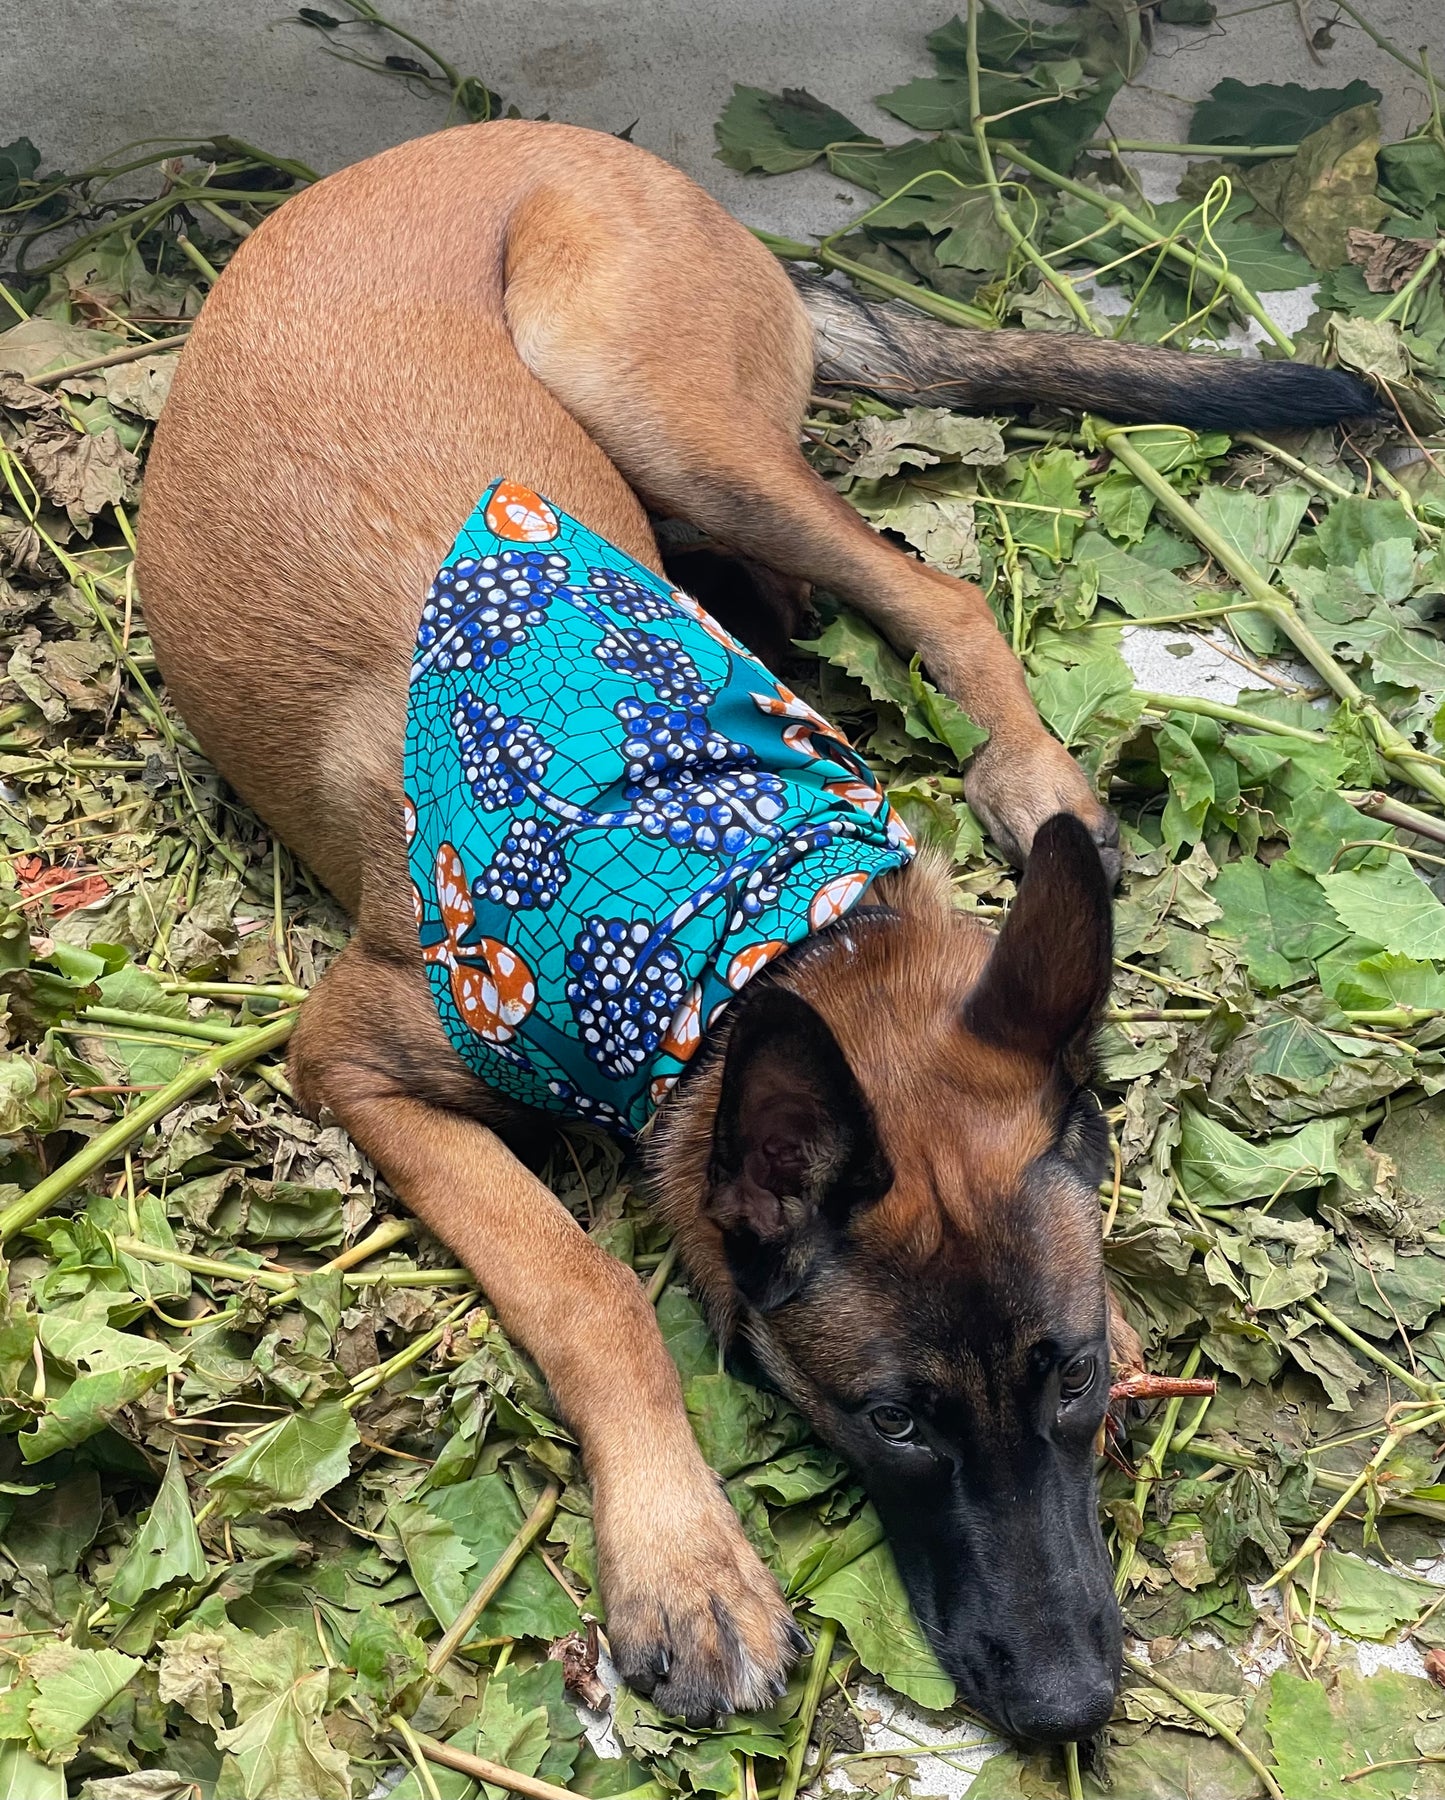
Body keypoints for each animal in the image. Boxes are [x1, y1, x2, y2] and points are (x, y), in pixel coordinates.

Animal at [138, 119, 1382, 1735]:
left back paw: (1024, 768)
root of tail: (495, 134)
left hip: (670, 420)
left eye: (1065, 1379)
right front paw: (686, 1567)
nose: (1067, 1711)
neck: (754, 923)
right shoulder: (350, 1057)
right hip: (639, 403)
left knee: (930, 589)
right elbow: (591, 1286)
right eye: (893, 1421)